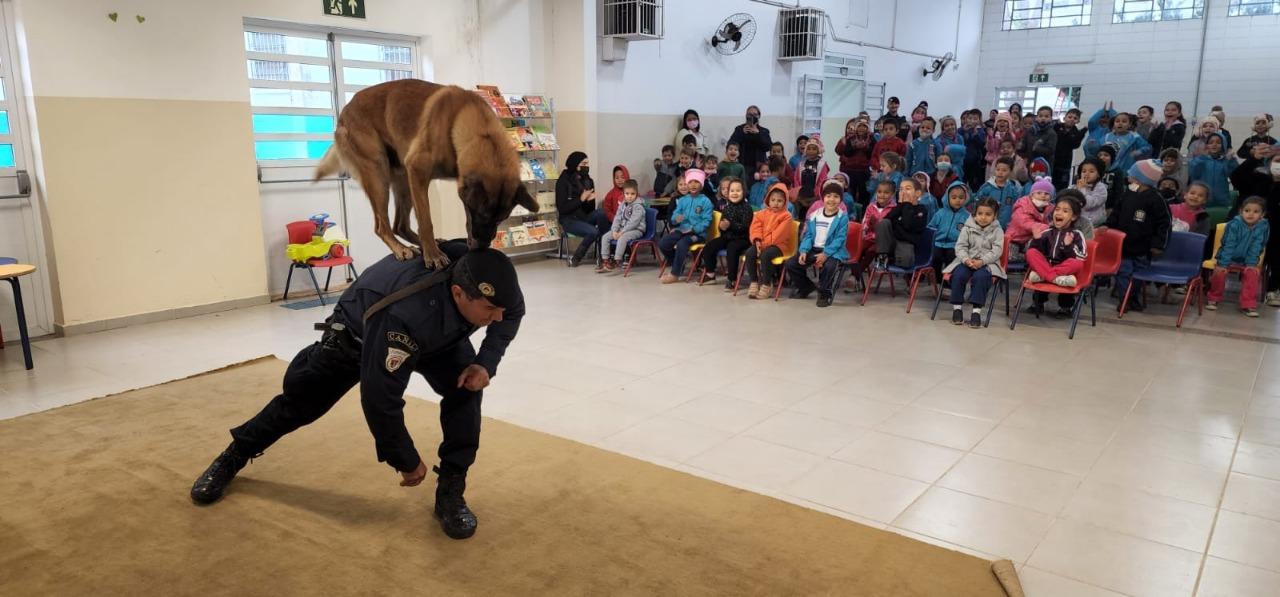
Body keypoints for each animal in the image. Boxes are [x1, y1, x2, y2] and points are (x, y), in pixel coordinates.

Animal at [322, 79, 542, 267]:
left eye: (500, 219)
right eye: (482, 214)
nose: (481, 247)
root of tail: (345, 112)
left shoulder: (458, 187)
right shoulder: (418, 171)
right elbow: (426, 220)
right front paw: (433, 255)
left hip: (403, 180)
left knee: (399, 225)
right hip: (379, 176)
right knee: (382, 226)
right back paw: (401, 248)